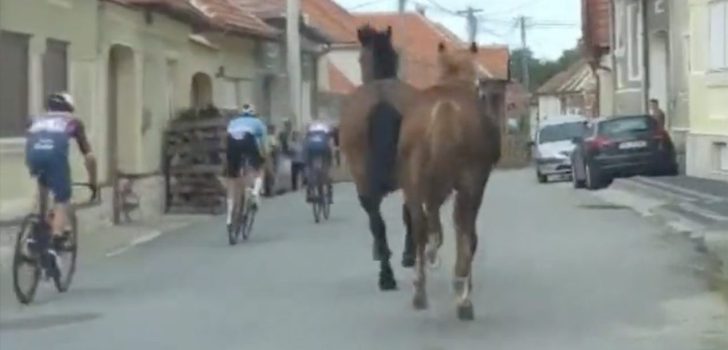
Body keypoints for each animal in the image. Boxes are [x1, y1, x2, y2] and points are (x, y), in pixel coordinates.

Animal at [398, 41, 506, 320]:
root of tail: (444, 108)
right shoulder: (476, 183)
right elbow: (467, 232)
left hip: (412, 182)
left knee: (420, 227)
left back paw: (420, 292)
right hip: (470, 183)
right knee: (463, 226)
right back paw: (463, 296)